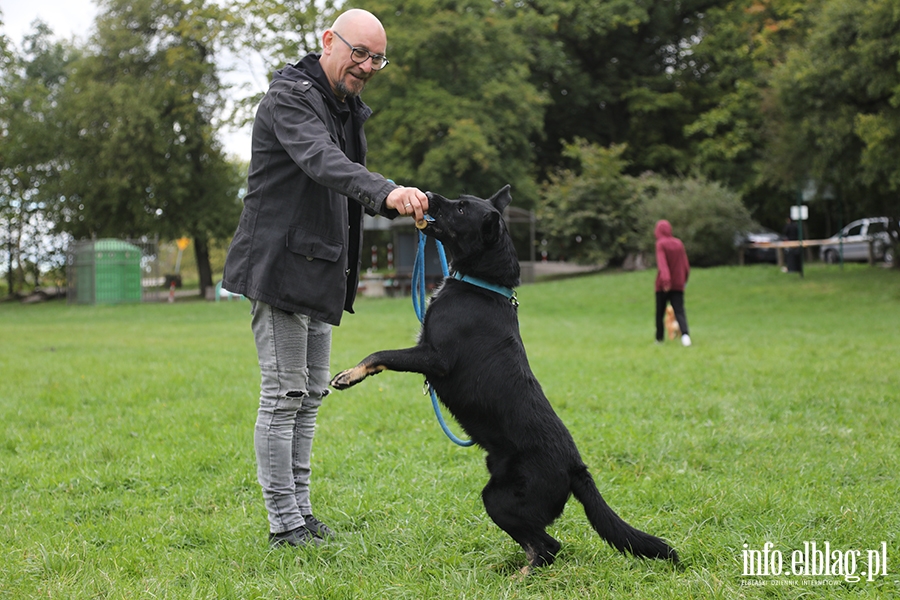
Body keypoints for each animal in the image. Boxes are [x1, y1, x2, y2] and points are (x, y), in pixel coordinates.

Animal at [330, 185, 676, 568]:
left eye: (461, 208)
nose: (427, 194)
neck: (481, 284)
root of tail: (576, 467)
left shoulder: (434, 357)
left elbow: (381, 355)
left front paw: (349, 375)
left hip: (500, 499)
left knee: (548, 546)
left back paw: (519, 574)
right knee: (541, 544)